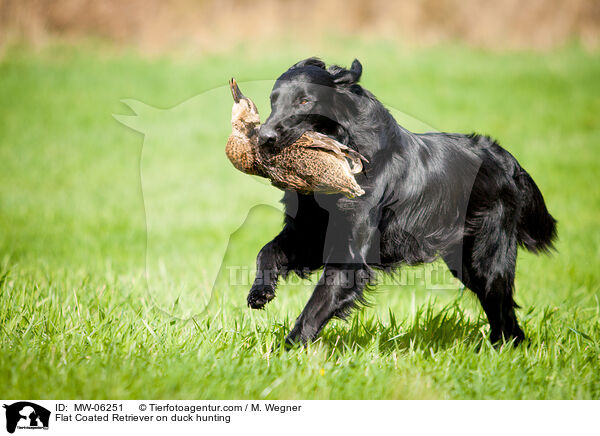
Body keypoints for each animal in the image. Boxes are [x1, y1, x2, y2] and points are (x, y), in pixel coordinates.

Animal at [246, 57, 556, 348]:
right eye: (273, 100)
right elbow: (266, 251)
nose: (264, 137)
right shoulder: (310, 234)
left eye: (304, 100)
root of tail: (504, 158)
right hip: (464, 261)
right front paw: (260, 292)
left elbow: (314, 308)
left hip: (487, 261)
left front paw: (285, 352)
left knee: (503, 311)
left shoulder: (349, 255)